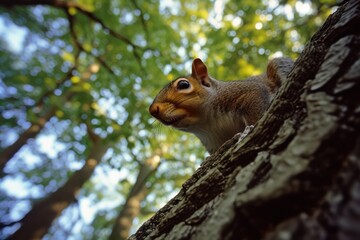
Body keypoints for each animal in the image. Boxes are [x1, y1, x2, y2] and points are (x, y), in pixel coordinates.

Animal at [148, 57, 292, 153]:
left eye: (183, 84)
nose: (153, 110)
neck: (208, 122)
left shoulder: (249, 92)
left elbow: (256, 114)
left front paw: (248, 129)